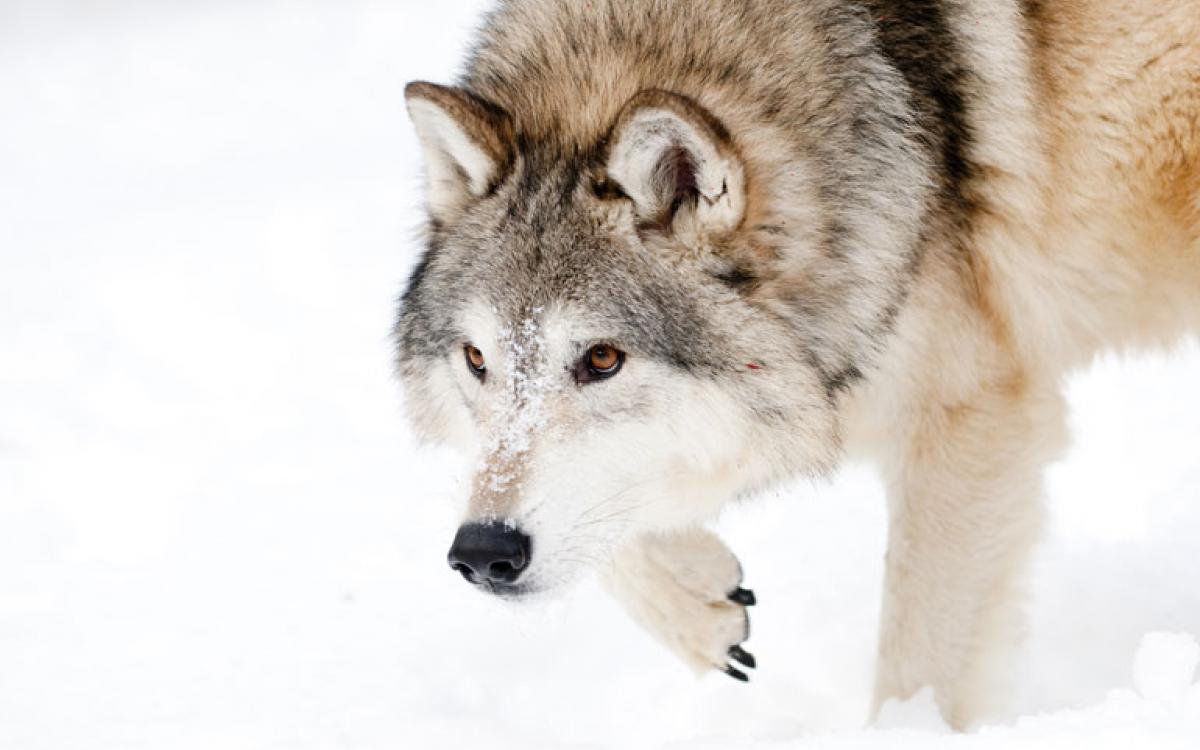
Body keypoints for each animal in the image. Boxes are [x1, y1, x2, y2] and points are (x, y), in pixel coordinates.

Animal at [395, 0, 1200, 729]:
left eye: (602, 358)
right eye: (476, 359)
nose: (481, 556)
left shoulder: (968, 421)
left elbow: (919, 663)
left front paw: (908, 735)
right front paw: (703, 606)